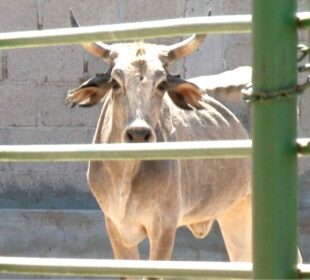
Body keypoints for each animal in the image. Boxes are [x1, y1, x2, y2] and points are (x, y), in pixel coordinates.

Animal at [67, 10, 252, 278]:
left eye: (162, 84)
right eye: (115, 83)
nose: (138, 133)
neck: (126, 176)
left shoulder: (164, 226)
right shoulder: (114, 226)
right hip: (235, 212)